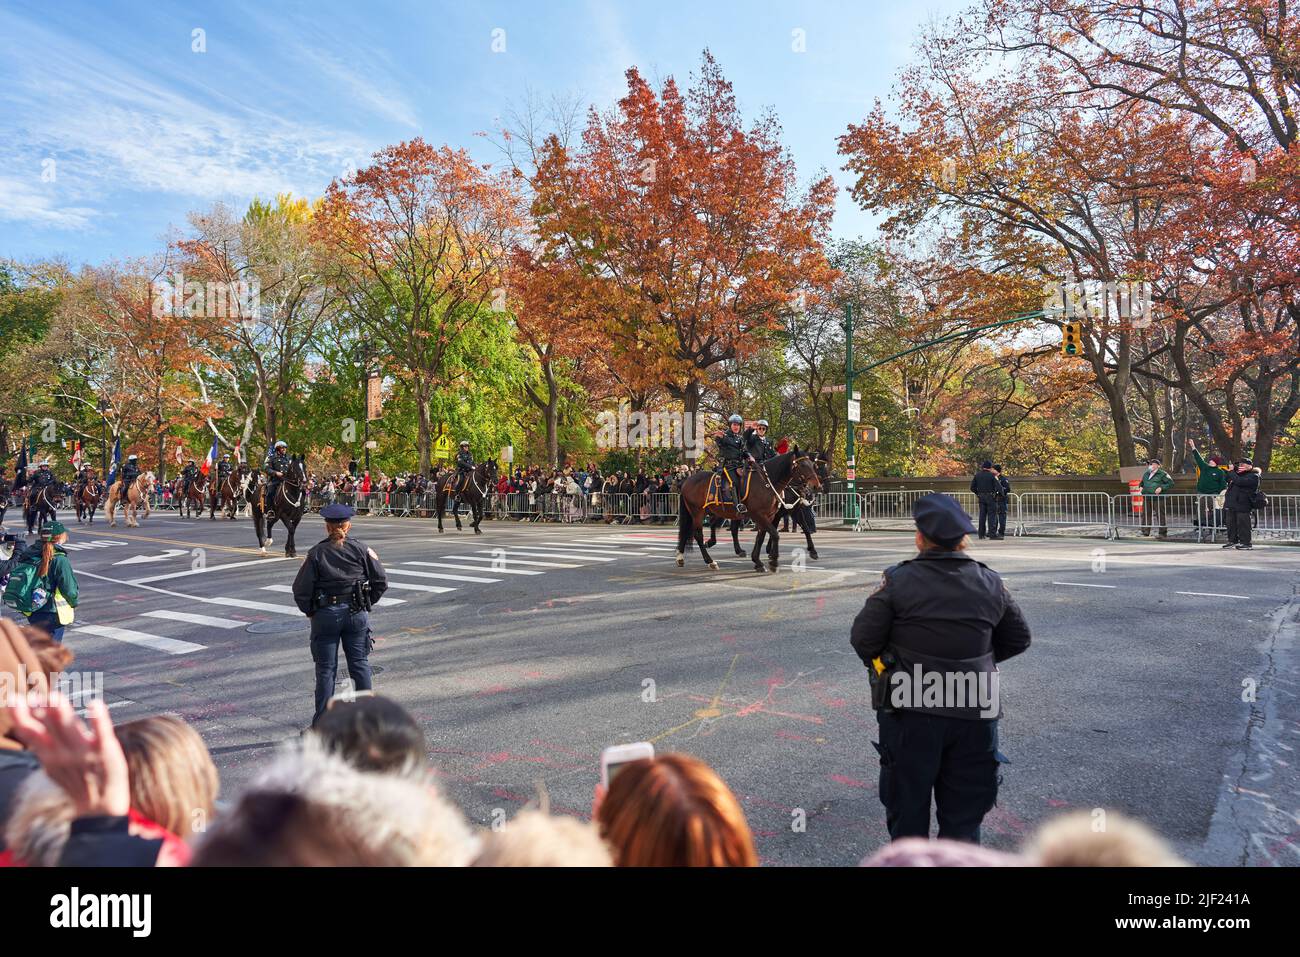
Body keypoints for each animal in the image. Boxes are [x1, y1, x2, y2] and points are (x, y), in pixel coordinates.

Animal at [676, 447, 816, 572]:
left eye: (813, 465)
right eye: (803, 465)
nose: (815, 486)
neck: (767, 482)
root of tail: (686, 481)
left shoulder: (774, 514)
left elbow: (763, 536)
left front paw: (758, 560)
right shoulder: (760, 515)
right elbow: (774, 534)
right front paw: (773, 560)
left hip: (715, 511)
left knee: (701, 528)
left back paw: (681, 556)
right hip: (698, 512)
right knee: (698, 534)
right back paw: (710, 560)